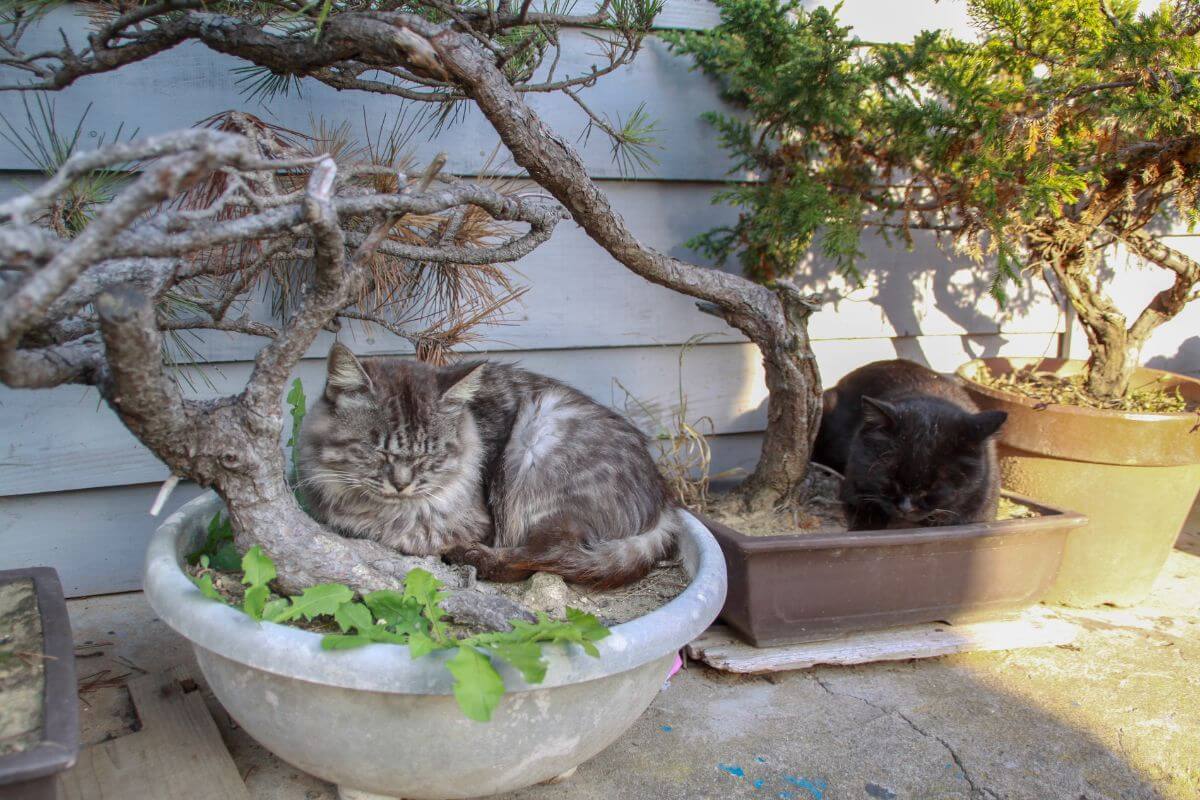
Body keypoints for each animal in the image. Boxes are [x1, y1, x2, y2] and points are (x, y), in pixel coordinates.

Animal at [296, 345, 681, 587]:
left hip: (538, 443)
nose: (401, 483)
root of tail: (663, 502)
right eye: (377, 451)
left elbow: (421, 535)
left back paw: (472, 558)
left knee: (545, 557)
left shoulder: (473, 521)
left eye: (430, 454)